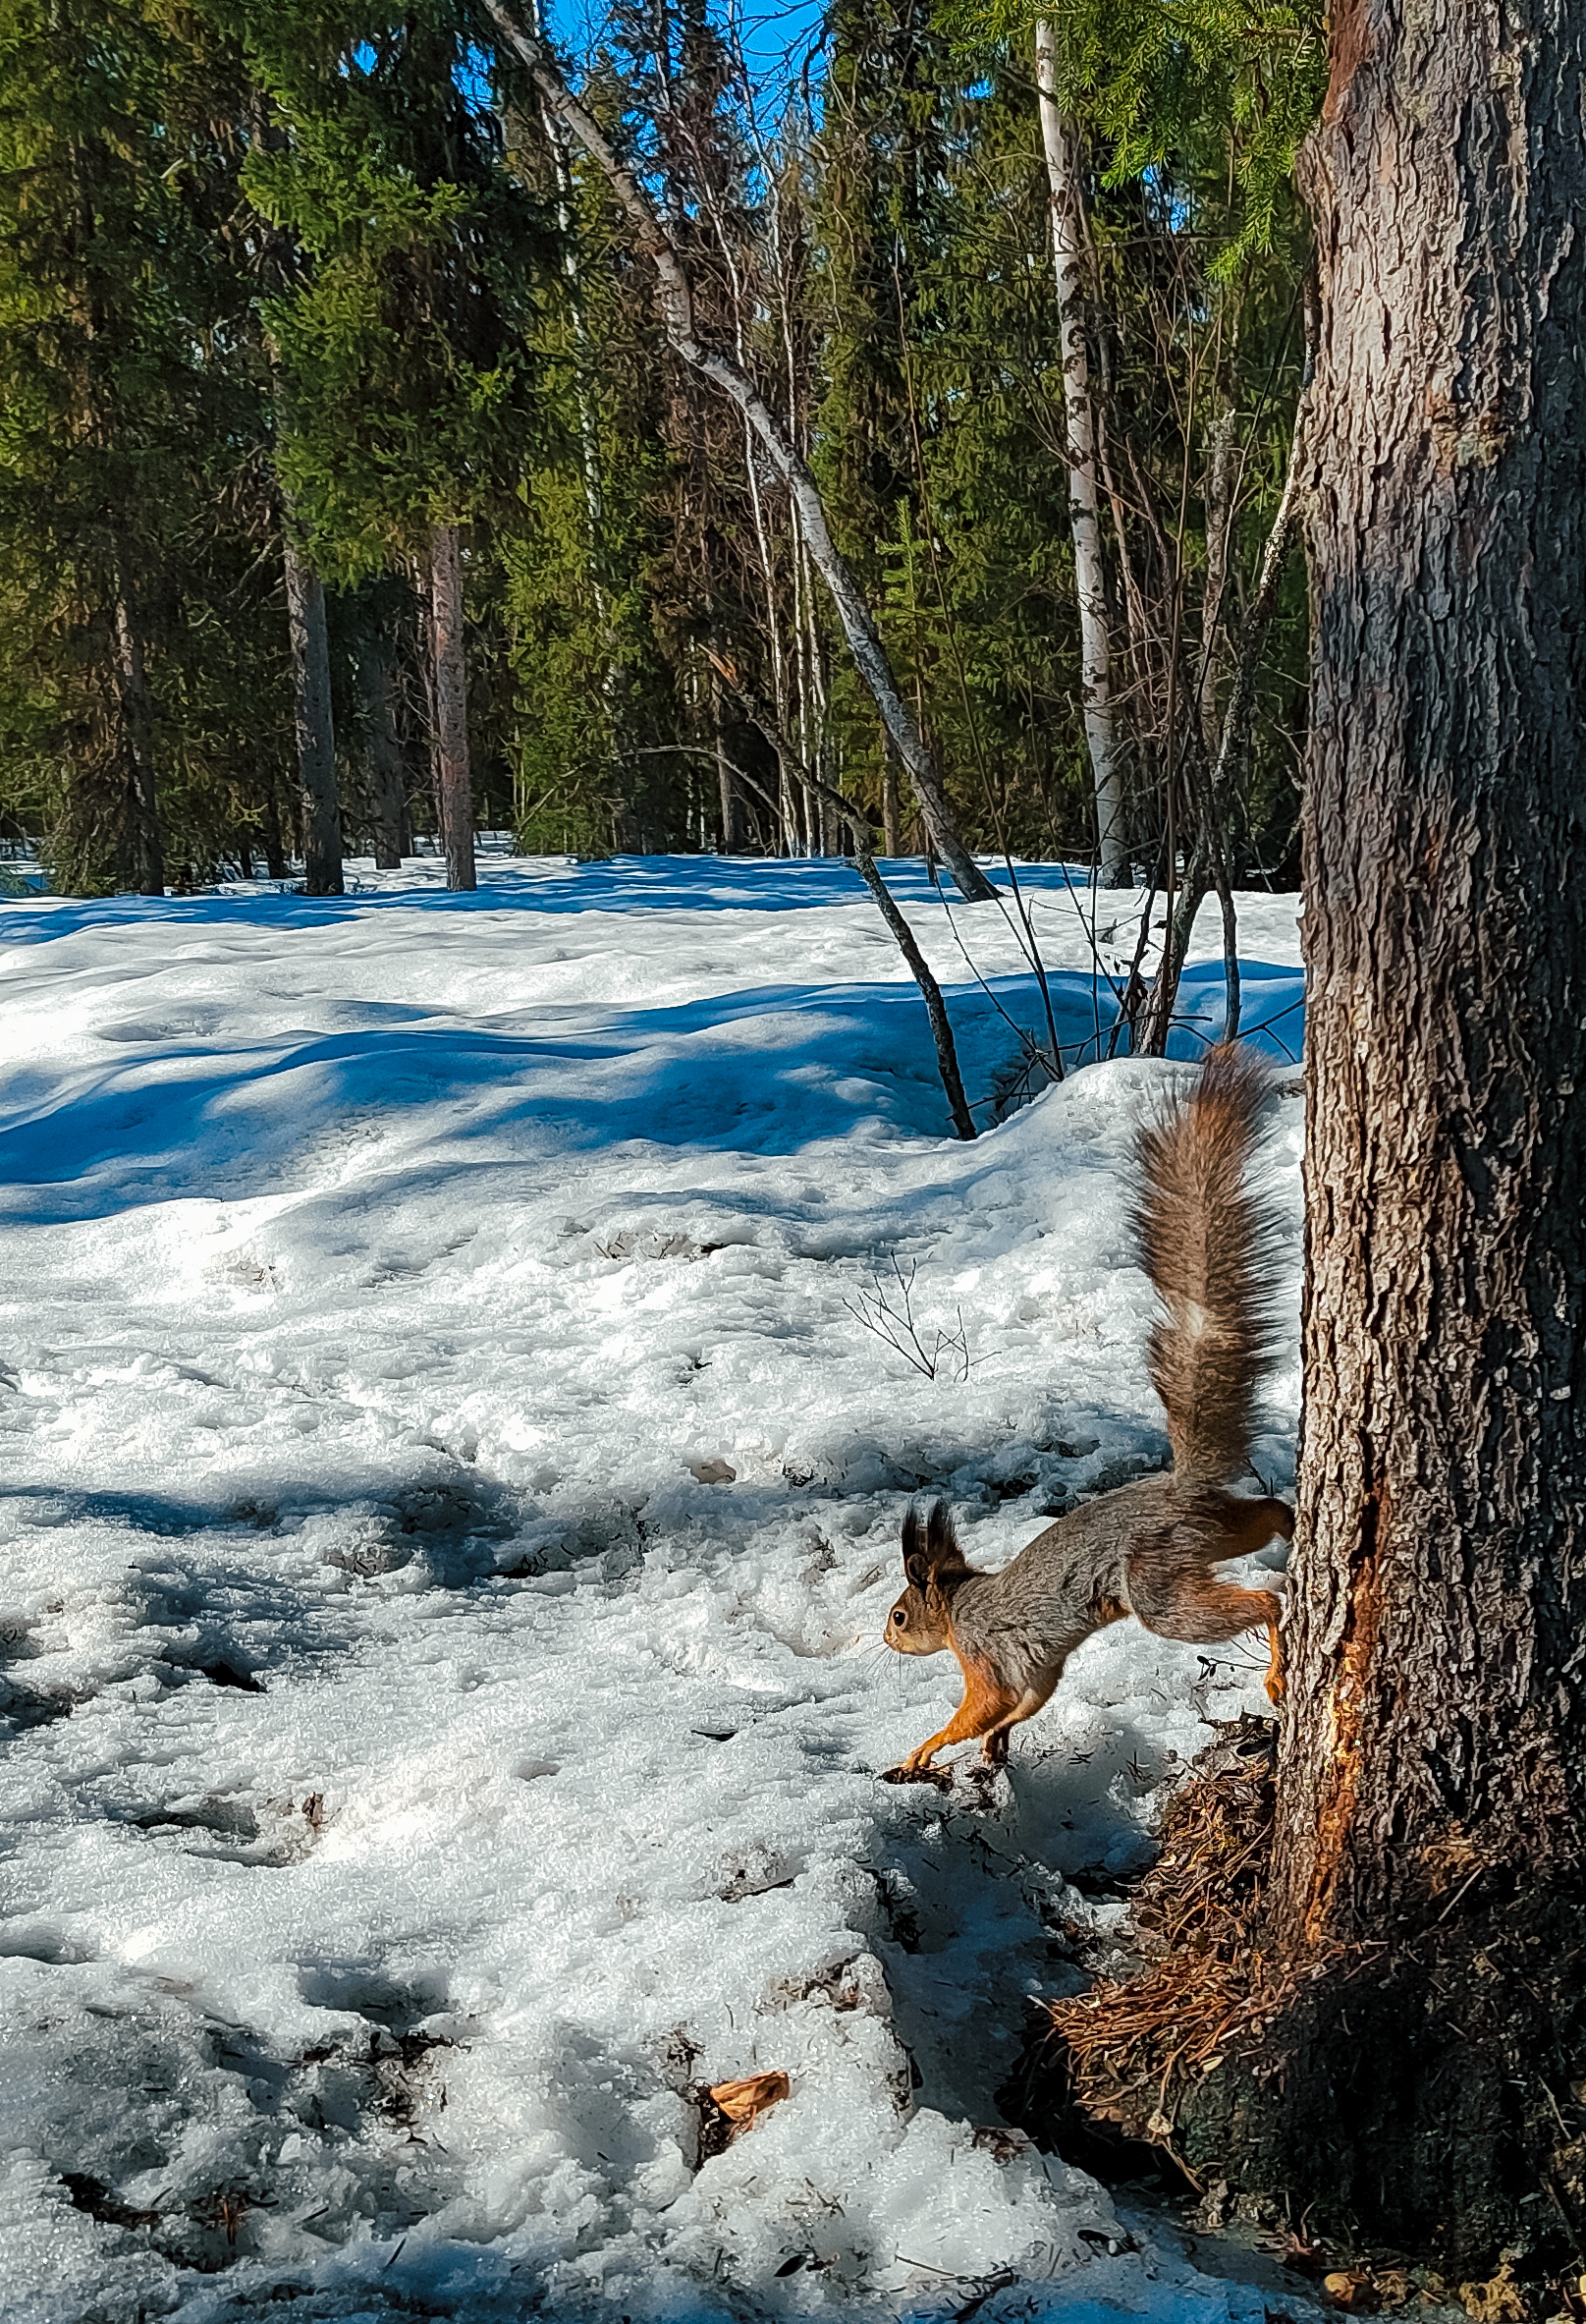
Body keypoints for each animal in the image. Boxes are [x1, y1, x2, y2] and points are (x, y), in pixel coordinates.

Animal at [882, 1045, 1290, 1785]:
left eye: (899, 1616)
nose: (880, 1638)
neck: (958, 1608)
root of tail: (1181, 1488)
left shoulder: (986, 1653)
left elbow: (981, 1707)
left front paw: (924, 1749)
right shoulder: (1039, 1667)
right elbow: (1023, 1705)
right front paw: (994, 1747)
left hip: (1156, 1580)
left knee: (1261, 1602)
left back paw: (1275, 1658)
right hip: (1214, 1535)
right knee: (1269, 1513)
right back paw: (1298, 1532)